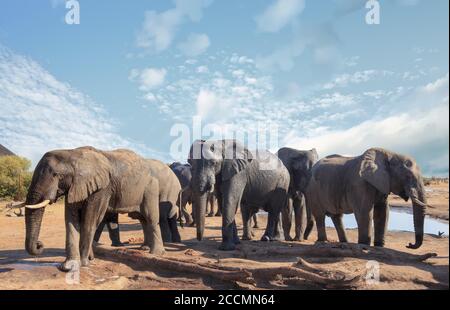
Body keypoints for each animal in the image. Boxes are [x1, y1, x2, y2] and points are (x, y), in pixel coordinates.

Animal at [16, 147, 170, 270]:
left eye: (57, 175)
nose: (39, 244)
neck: (72, 153)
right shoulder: (76, 186)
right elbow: (71, 220)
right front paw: (69, 266)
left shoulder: (102, 188)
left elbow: (89, 220)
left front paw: (84, 263)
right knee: (142, 219)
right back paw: (145, 249)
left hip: (150, 188)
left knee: (150, 218)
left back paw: (156, 253)